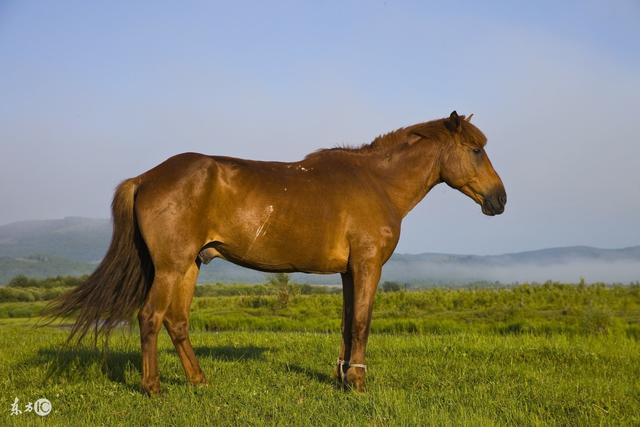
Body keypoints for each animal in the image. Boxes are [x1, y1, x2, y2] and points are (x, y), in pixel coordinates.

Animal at [43, 110, 504, 394]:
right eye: (476, 150)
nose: (499, 200)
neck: (377, 183)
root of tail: (146, 177)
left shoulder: (348, 271)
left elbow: (346, 324)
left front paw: (341, 378)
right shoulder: (368, 265)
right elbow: (361, 324)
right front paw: (357, 383)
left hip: (190, 265)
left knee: (177, 322)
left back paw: (199, 381)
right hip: (170, 267)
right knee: (150, 317)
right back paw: (153, 387)